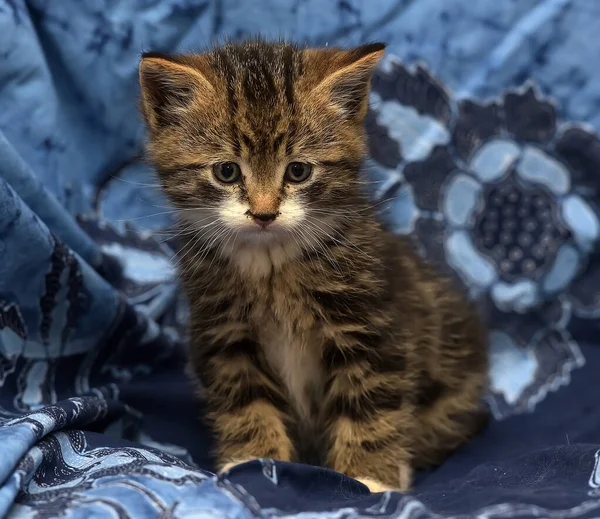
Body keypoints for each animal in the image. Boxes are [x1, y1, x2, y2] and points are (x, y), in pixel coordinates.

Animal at [138, 39, 490, 492]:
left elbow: (370, 402)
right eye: (227, 171)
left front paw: (370, 477)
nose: (264, 214)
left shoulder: (372, 327)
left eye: (298, 171)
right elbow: (244, 400)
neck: (271, 265)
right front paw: (253, 460)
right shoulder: (224, 334)